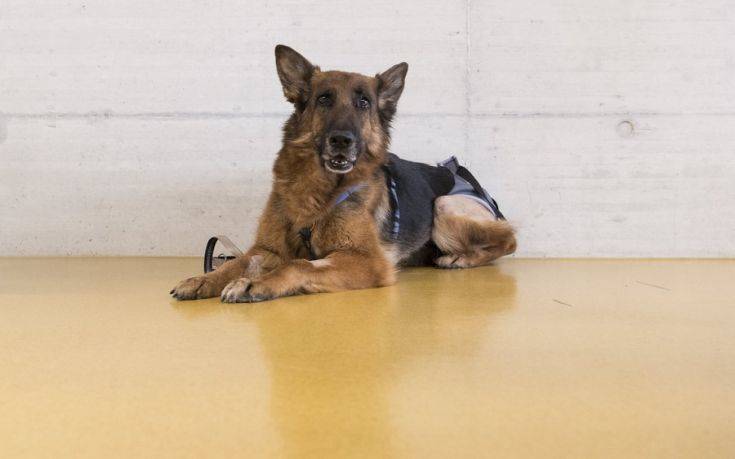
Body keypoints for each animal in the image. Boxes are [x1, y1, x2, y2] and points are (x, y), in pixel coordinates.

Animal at [172, 45, 516, 306]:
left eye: (364, 102)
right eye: (324, 98)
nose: (342, 140)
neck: (315, 189)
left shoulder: (369, 261)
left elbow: (299, 263)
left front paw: (252, 284)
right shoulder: (267, 250)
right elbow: (239, 262)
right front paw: (204, 278)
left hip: (443, 206)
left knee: (510, 239)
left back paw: (460, 259)